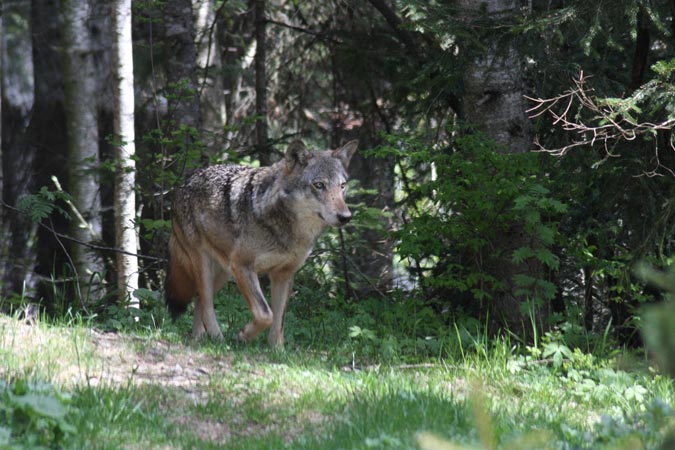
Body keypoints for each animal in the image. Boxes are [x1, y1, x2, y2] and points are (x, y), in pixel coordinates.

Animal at [165, 140, 358, 347]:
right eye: (319, 185)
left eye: (342, 186)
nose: (345, 217)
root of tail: (184, 183)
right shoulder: (243, 267)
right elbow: (266, 315)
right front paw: (243, 336)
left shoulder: (284, 275)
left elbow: (279, 321)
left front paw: (277, 350)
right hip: (206, 267)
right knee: (206, 305)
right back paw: (219, 340)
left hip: (223, 273)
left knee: (199, 300)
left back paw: (198, 339)